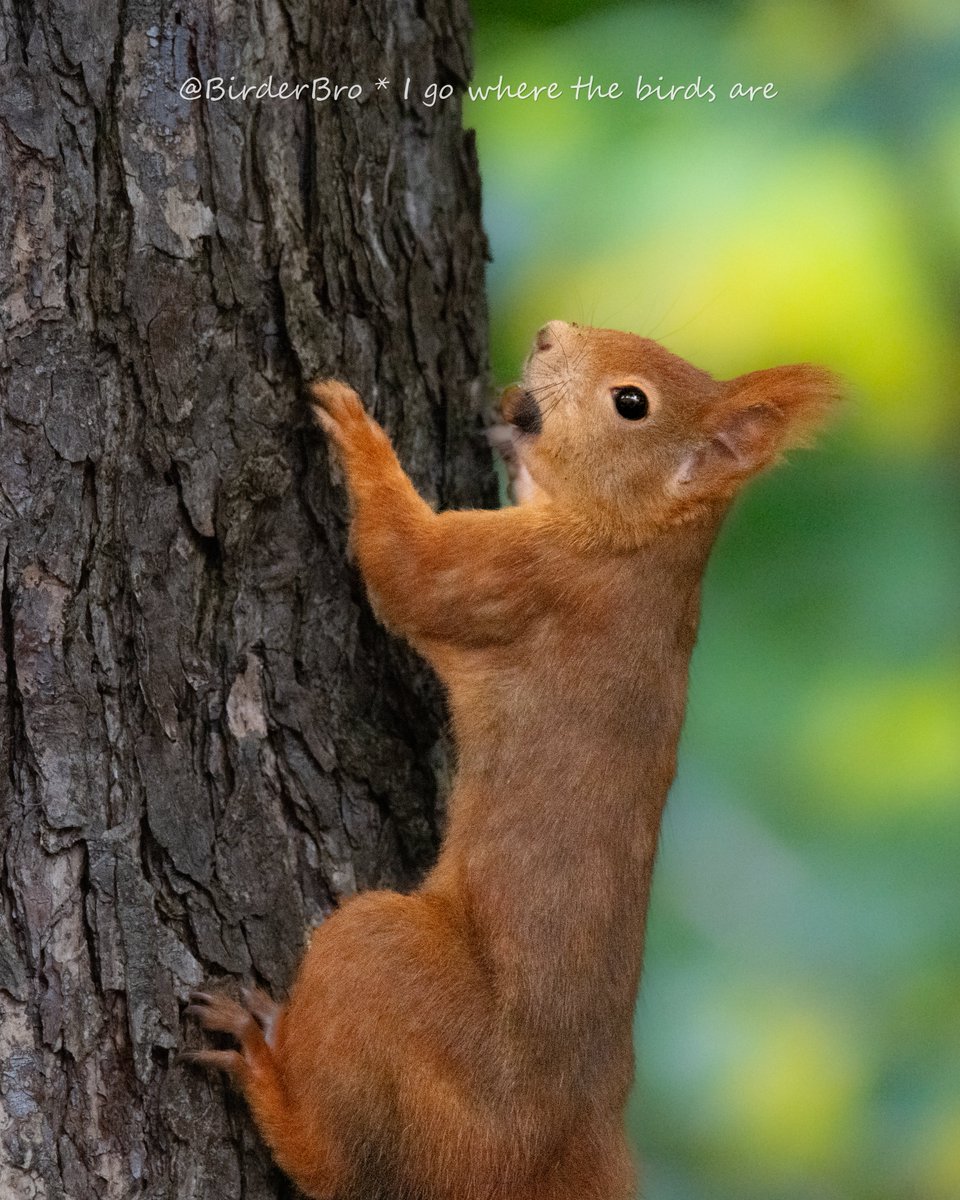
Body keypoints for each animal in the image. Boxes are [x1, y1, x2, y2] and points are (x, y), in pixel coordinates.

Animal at [183, 321, 835, 1200]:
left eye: (632, 402)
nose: (548, 335)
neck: (644, 546)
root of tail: (568, 1138)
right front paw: (504, 425)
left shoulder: (522, 580)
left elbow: (409, 570)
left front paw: (358, 431)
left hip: (390, 970)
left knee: (346, 1171)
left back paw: (263, 1074)